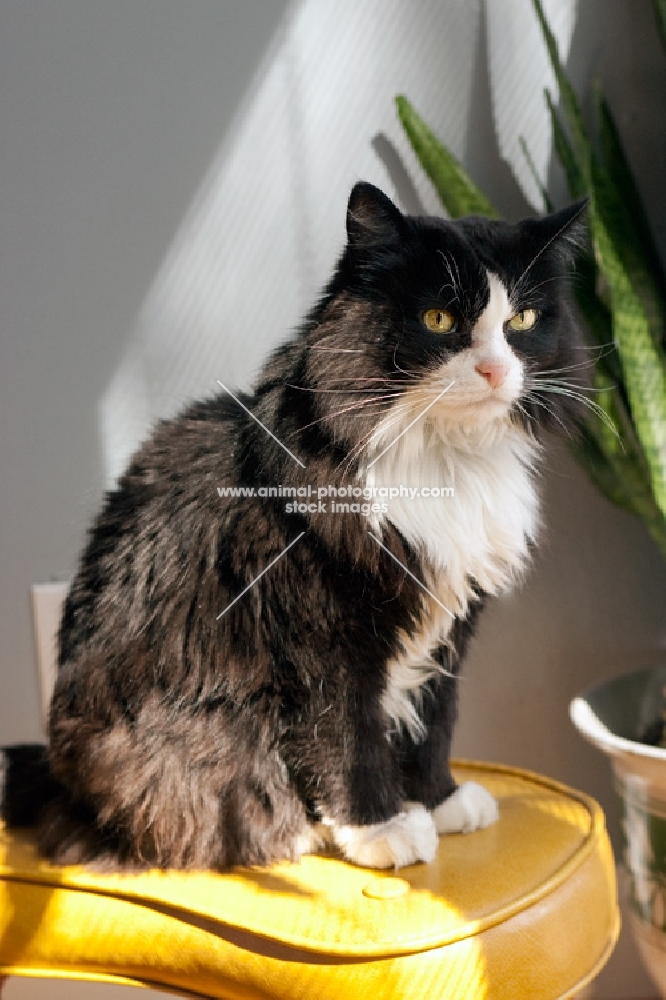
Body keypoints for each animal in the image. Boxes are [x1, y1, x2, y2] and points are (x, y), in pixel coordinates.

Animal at [3, 184, 588, 872]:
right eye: (439, 320)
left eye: (521, 321)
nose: (496, 370)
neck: (445, 463)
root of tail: (55, 777)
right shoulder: (324, 635)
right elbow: (348, 737)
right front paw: (382, 827)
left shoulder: (451, 623)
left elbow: (435, 721)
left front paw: (440, 801)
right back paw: (297, 830)